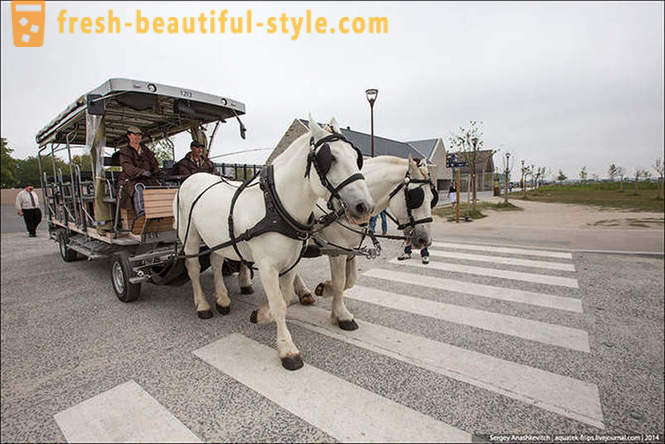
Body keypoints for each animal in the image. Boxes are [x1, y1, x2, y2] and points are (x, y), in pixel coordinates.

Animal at [174, 116, 374, 370]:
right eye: (331, 158)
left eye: (356, 157)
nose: (365, 207)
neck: (276, 206)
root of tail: (190, 179)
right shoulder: (268, 266)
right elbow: (279, 303)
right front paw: (288, 350)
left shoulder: (290, 263)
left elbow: (285, 298)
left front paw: (261, 314)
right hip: (189, 236)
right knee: (193, 267)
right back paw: (203, 305)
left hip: (217, 239)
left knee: (217, 262)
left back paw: (222, 300)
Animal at [249, 153, 436, 330]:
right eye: (416, 196)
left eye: (432, 198)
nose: (425, 240)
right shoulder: (337, 251)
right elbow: (340, 282)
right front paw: (342, 316)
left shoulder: (349, 250)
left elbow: (350, 280)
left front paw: (325, 288)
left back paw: (303, 293)